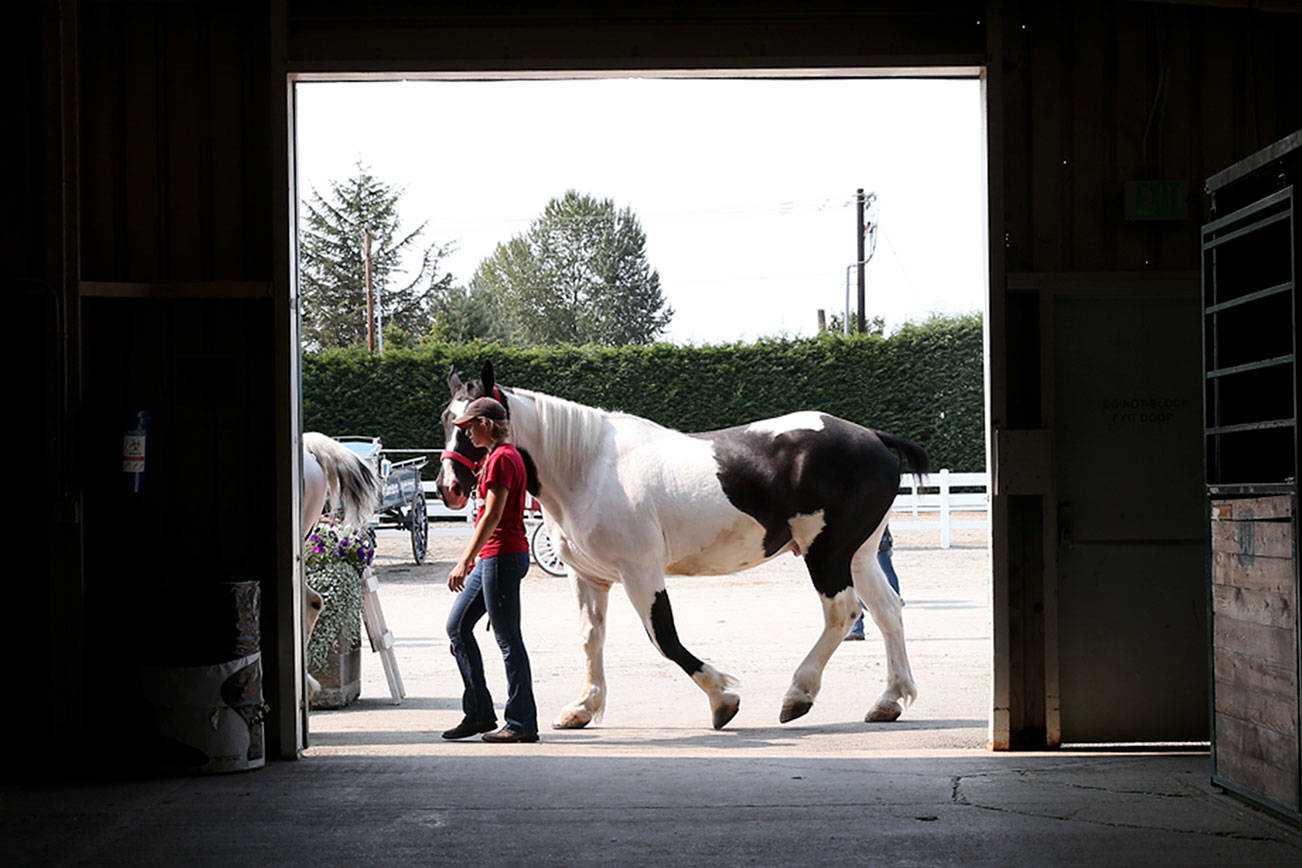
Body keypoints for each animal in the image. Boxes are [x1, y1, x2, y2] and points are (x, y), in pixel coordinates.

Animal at [437, 364, 927, 728]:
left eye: (475, 424)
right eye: (447, 419)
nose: (449, 488)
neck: (589, 466)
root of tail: (874, 438)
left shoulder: (641, 572)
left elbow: (665, 637)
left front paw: (721, 699)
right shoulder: (590, 577)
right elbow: (591, 638)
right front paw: (583, 707)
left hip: (827, 553)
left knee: (842, 612)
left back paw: (798, 695)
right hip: (859, 555)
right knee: (888, 610)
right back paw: (889, 700)